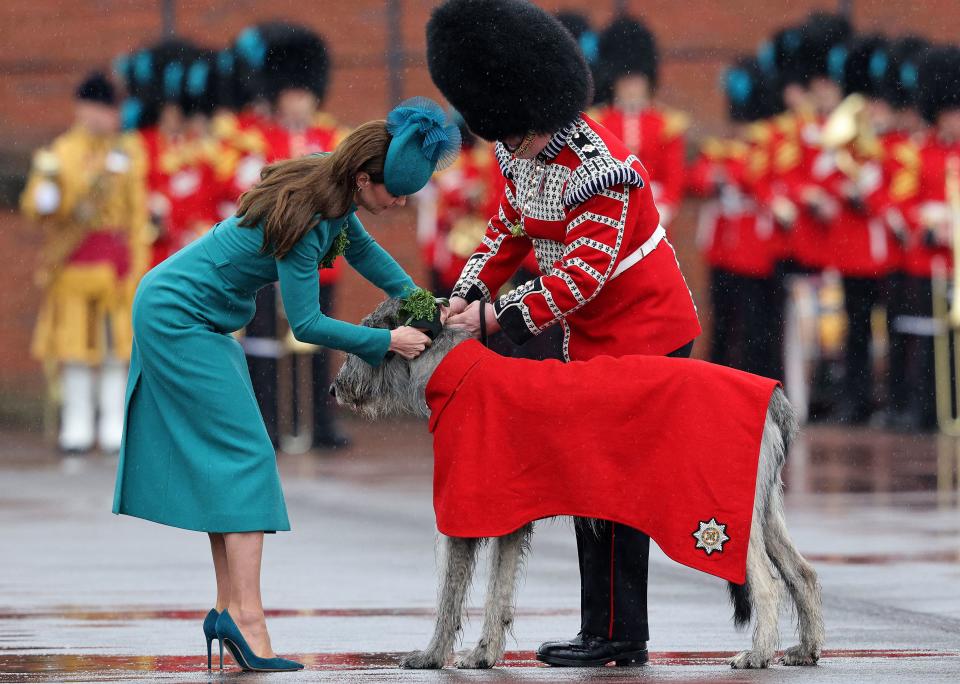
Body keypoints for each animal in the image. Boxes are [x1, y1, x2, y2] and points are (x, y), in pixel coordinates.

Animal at [332, 302, 824, 672]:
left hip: (723, 515)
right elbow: (499, 592)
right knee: (800, 571)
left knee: (766, 581)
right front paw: (484, 654)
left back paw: (758, 653)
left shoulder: (464, 510)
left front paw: (431, 655)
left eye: (368, 335)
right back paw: (806, 648)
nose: (336, 388)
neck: (453, 373)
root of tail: (772, 394)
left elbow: (449, 596)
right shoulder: (508, 516)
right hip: (760, 507)